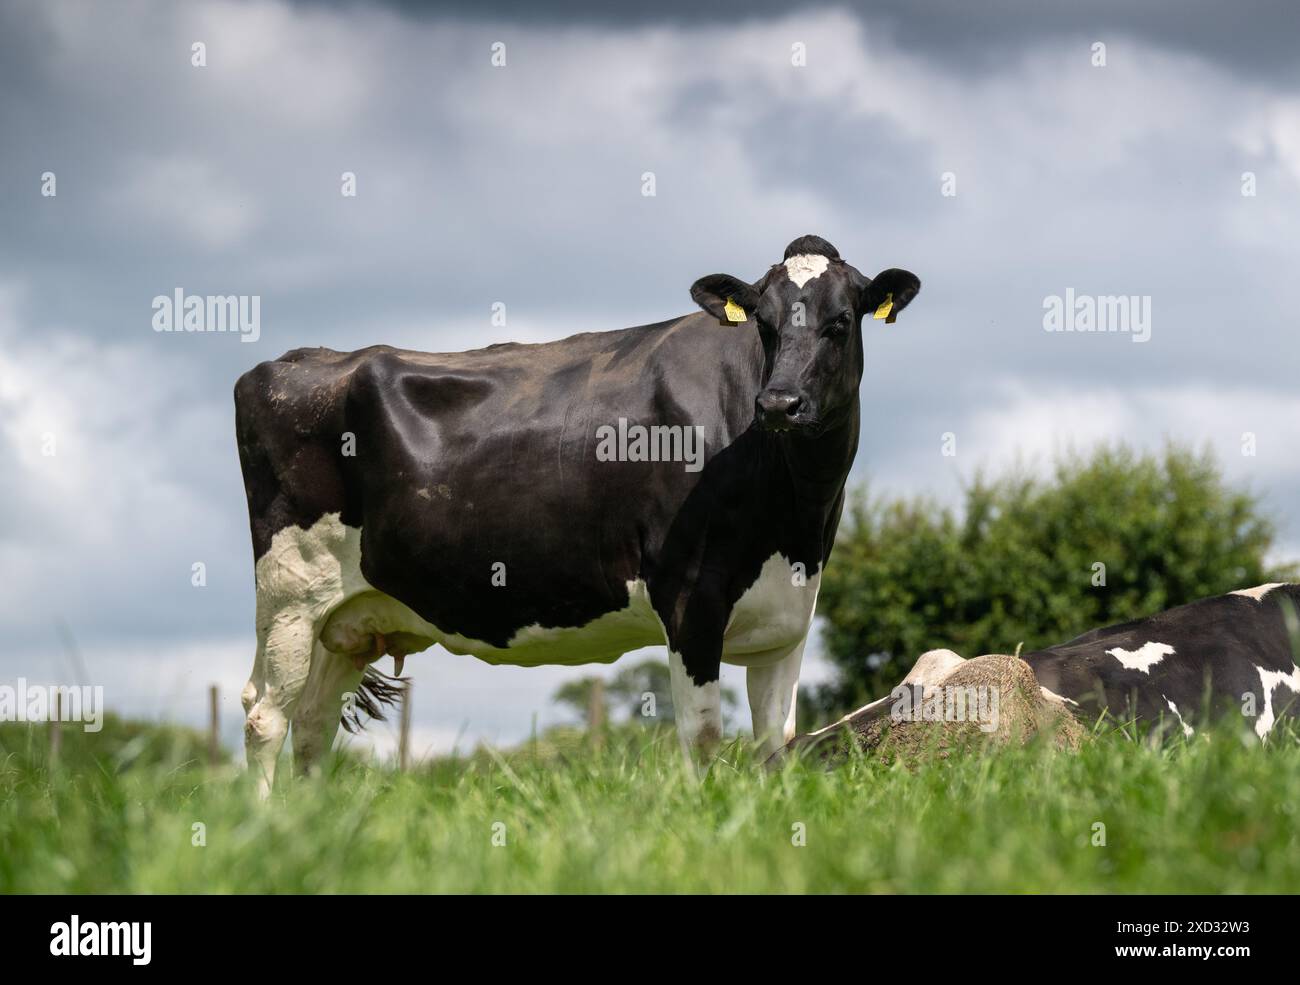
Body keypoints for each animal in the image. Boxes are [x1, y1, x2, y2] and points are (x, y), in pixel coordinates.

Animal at [234, 235, 921, 793]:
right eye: (764, 323)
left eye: (840, 322)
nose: (779, 403)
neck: (794, 515)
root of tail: (293, 361)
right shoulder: (689, 598)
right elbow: (702, 736)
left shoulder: (787, 617)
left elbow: (776, 745)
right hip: (290, 592)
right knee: (266, 715)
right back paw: (269, 824)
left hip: (346, 616)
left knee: (314, 723)